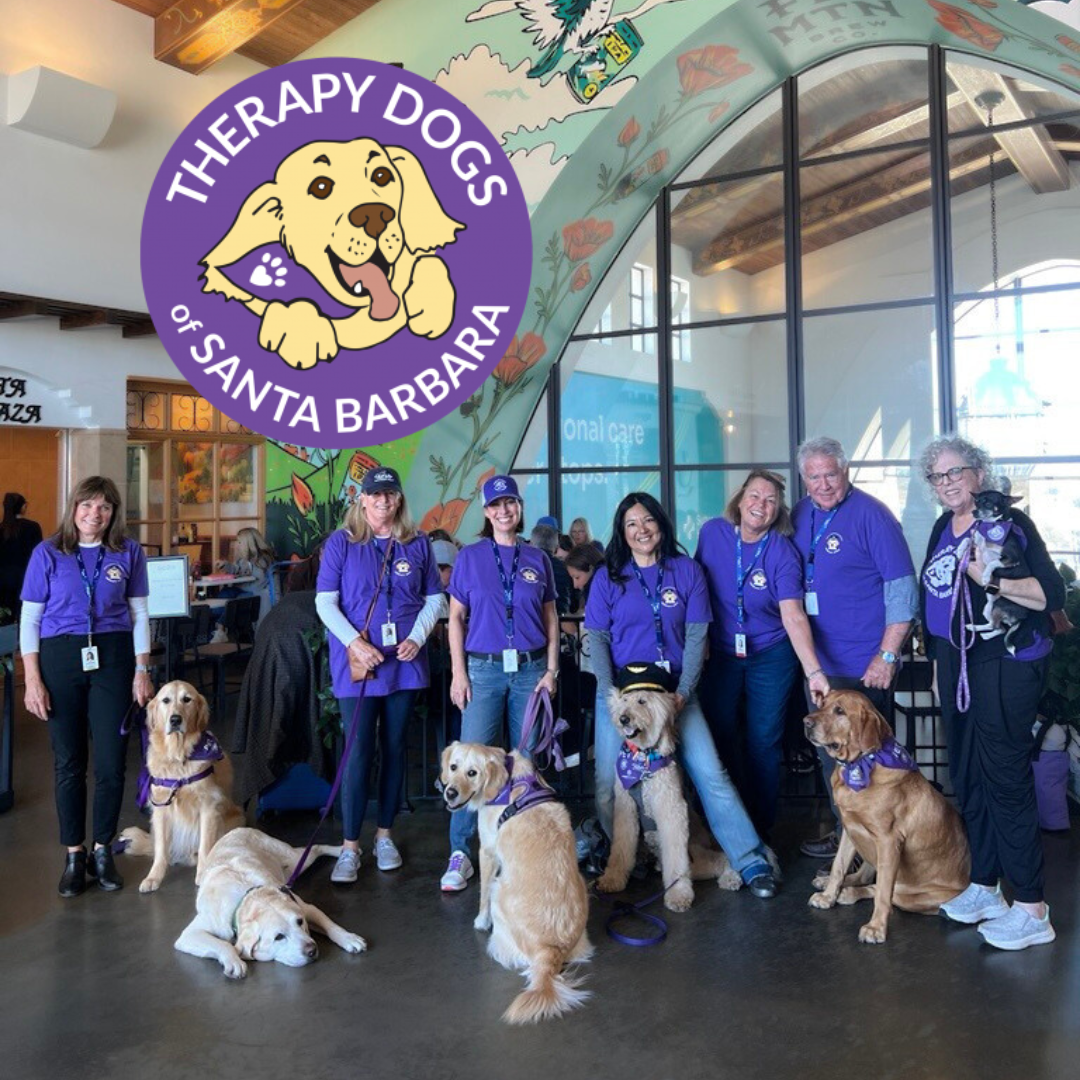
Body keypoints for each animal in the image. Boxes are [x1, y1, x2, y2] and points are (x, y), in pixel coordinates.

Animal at [972, 492, 1028, 652]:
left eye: (988, 503)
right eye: (976, 502)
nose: (973, 512)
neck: (991, 525)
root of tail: (1022, 618)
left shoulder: (1011, 559)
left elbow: (992, 562)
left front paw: (985, 577)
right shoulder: (975, 544)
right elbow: (966, 541)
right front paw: (958, 551)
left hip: (998, 606)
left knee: (1000, 629)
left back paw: (983, 634)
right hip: (988, 609)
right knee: (995, 626)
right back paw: (973, 627)